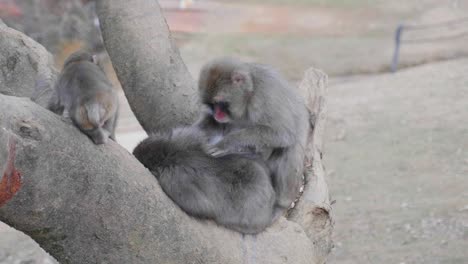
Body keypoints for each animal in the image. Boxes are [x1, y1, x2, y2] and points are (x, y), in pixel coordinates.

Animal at [195, 57, 308, 210]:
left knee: (290, 148)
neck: (250, 93)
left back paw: (283, 202)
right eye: (212, 105)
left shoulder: (265, 95)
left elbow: (283, 133)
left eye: (221, 103)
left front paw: (227, 143)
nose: (217, 114)